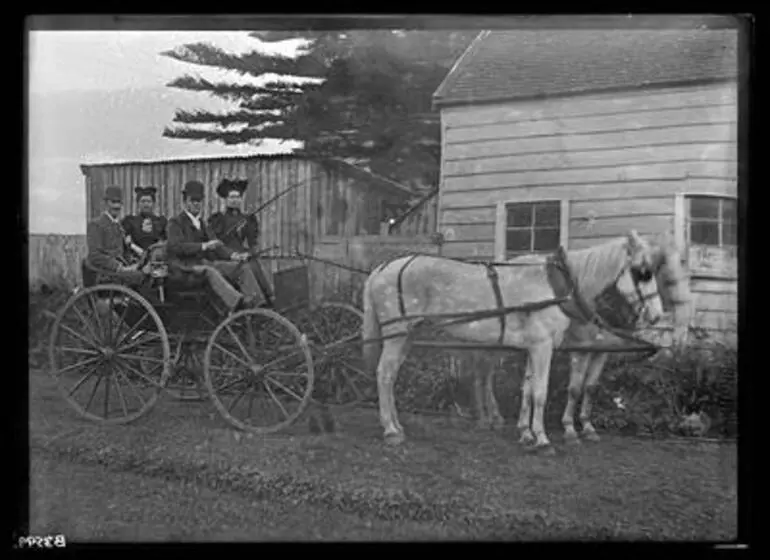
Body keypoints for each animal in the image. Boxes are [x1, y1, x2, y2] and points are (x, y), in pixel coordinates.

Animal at [364, 229, 664, 450]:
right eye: (643, 273)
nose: (657, 315)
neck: (557, 287)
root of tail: (381, 268)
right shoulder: (543, 346)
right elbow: (541, 391)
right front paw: (542, 439)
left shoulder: (534, 346)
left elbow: (528, 390)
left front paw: (526, 433)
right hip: (396, 334)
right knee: (384, 374)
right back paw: (390, 430)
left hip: (406, 336)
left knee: (392, 375)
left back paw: (397, 426)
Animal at [472, 232, 692, 442]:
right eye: (644, 274)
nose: (657, 315)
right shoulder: (581, 349)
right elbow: (575, 388)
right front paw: (569, 429)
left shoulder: (601, 351)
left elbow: (590, 387)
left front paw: (587, 427)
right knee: (484, 375)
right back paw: (488, 417)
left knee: (485, 374)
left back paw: (491, 417)